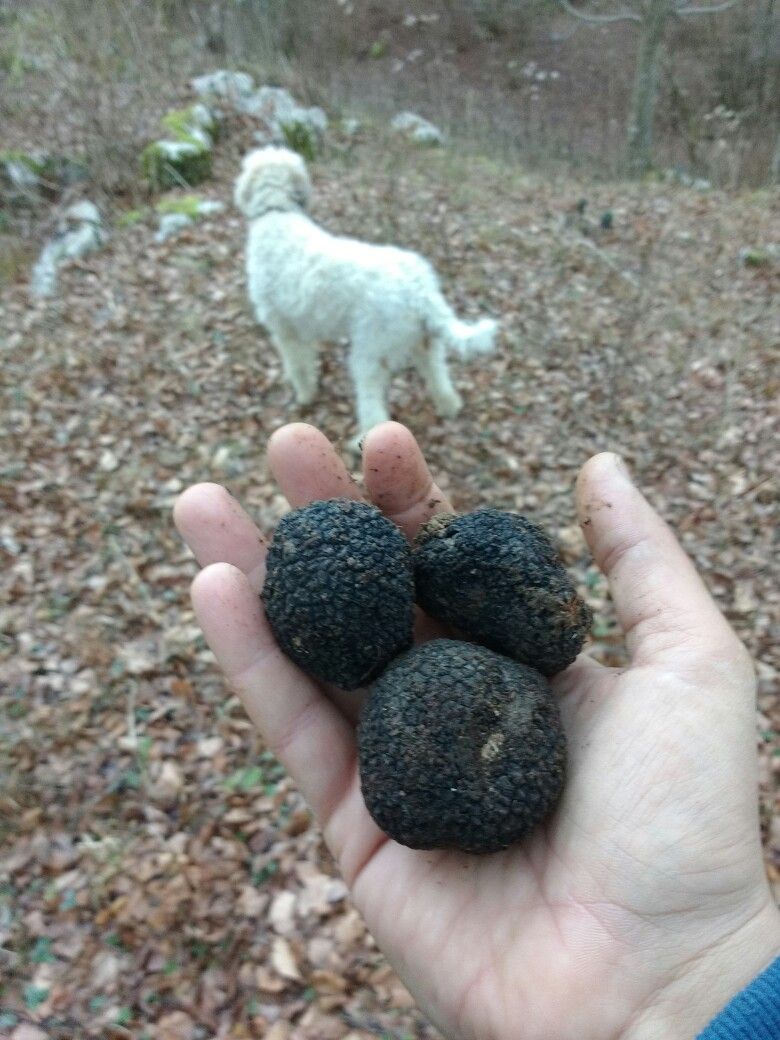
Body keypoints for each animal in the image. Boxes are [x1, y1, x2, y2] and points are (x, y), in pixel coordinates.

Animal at [234, 147, 498, 449]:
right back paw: (448, 407)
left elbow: (298, 368)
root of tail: (421, 291)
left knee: (374, 409)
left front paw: (305, 396)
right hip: (426, 344)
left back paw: (360, 441)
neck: (277, 213)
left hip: (369, 355)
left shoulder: (285, 330)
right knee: (439, 378)